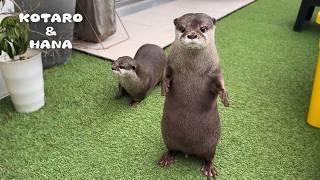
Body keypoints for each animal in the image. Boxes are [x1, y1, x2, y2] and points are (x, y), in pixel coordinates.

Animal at [160, 13, 230, 177]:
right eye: (182, 28)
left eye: (203, 28)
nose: (192, 35)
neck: (192, 68)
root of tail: (188, 150)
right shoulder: (170, 63)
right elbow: (166, 73)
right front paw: (164, 87)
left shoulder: (216, 69)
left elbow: (220, 82)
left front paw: (225, 97)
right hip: (167, 136)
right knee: (171, 148)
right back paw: (167, 158)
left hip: (211, 143)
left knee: (209, 156)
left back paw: (209, 169)